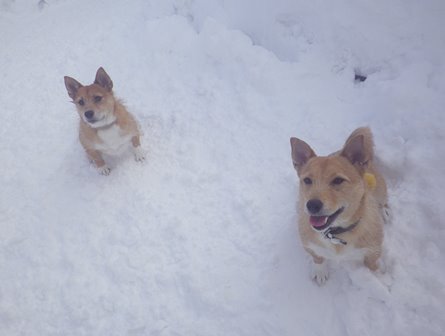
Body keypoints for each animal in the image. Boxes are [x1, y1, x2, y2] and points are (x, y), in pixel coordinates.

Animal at [290, 127, 386, 284]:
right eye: (307, 180)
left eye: (338, 180)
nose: (312, 205)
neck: (335, 233)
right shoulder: (308, 244)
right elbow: (317, 257)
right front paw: (320, 270)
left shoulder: (374, 250)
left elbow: (372, 265)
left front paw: (378, 279)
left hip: (381, 188)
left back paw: (384, 211)